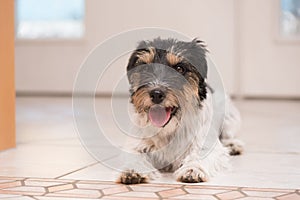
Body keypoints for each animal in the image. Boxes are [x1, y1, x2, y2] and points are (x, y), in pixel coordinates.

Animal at [118, 38, 244, 184]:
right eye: (146, 68)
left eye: (179, 68)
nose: (156, 94)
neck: (169, 129)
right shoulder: (136, 144)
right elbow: (135, 155)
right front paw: (133, 171)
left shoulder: (205, 143)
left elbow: (200, 154)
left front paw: (192, 169)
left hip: (230, 118)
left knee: (228, 135)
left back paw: (233, 145)